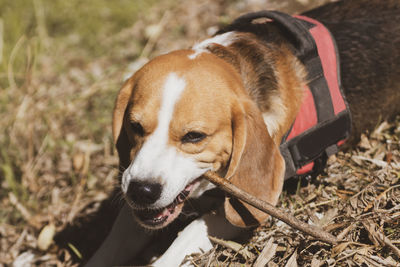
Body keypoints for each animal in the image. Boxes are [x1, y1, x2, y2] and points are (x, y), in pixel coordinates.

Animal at [86, 1, 400, 266]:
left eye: (194, 136)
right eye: (135, 126)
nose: (141, 191)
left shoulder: (246, 206)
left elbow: (190, 231)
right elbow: (116, 239)